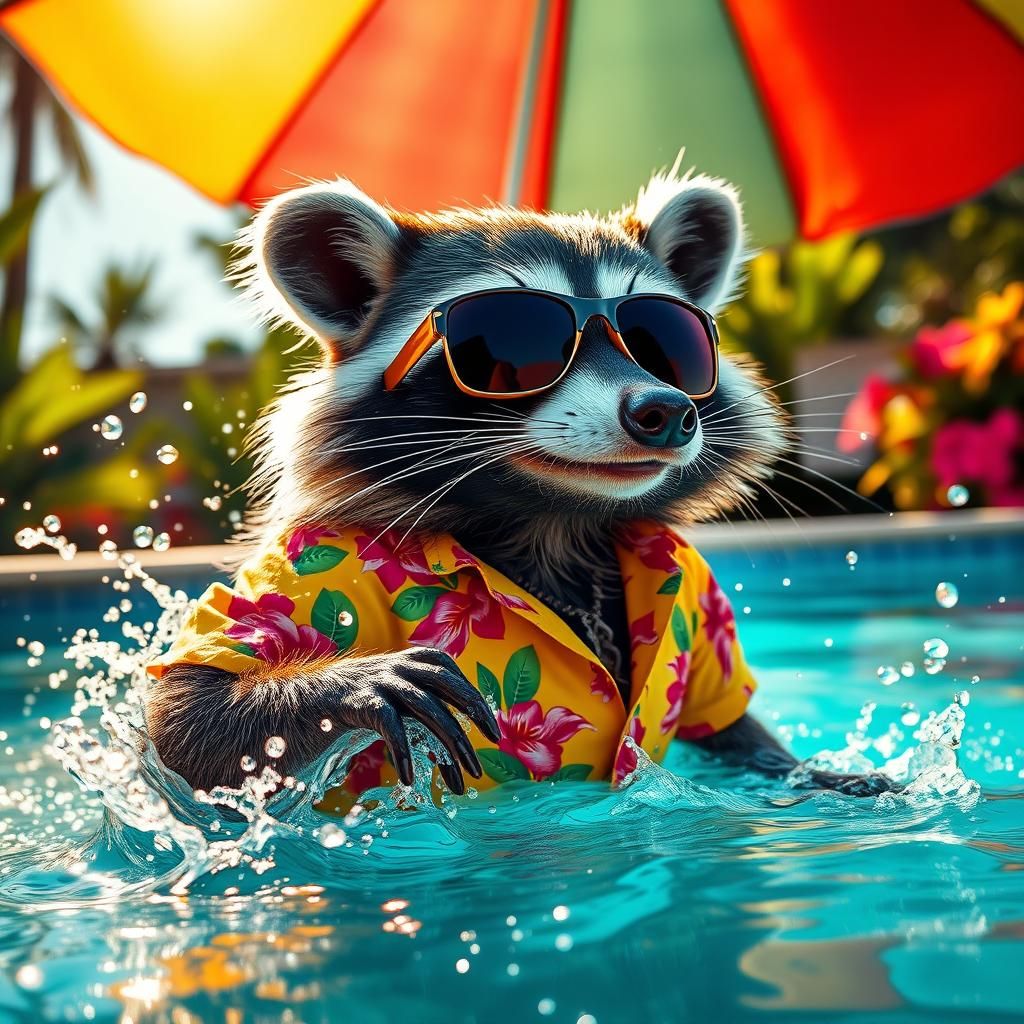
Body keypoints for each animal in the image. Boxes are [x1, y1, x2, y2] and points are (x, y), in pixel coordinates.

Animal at [145, 171, 893, 800]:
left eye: (666, 341)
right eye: (512, 341)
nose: (665, 410)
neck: (555, 518)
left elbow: (734, 730)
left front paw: (811, 772)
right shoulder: (319, 554)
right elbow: (186, 722)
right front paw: (347, 682)